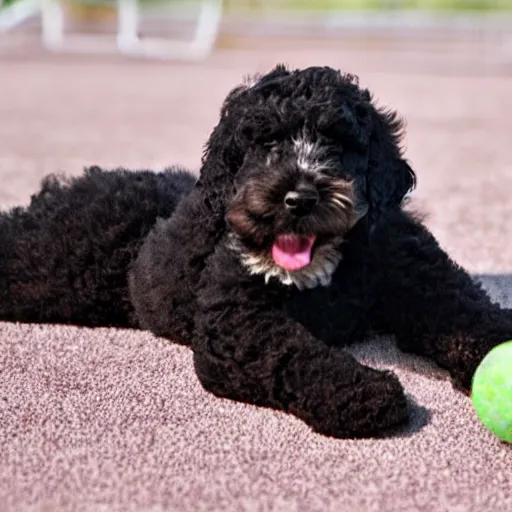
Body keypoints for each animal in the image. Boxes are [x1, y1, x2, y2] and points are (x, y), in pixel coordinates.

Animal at [1, 66, 512, 438]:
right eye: (266, 142)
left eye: (337, 143)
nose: (299, 198)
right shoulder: (236, 322)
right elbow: (292, 354)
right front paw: (364, 393)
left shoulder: (418, 273)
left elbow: (467, 315)